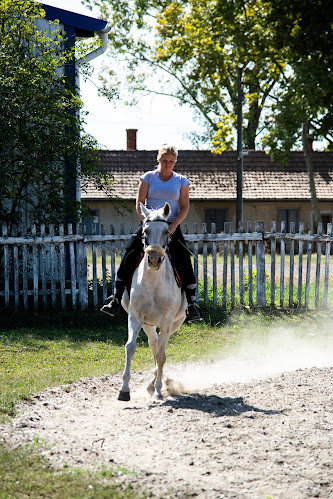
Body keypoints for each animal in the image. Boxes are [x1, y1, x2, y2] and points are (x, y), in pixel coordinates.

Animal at [118, 203, 187, 402]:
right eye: (145, 231)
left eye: (166, 231)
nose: (154, 259)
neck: (154, 281)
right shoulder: (135, 317)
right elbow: (130, 347)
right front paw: (124, 390)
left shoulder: (167, 321)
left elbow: (162, 356)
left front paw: (158, 390)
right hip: (148, 324)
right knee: (154, 343)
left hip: (175, 323)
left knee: (160, 348)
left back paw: (158, 383)